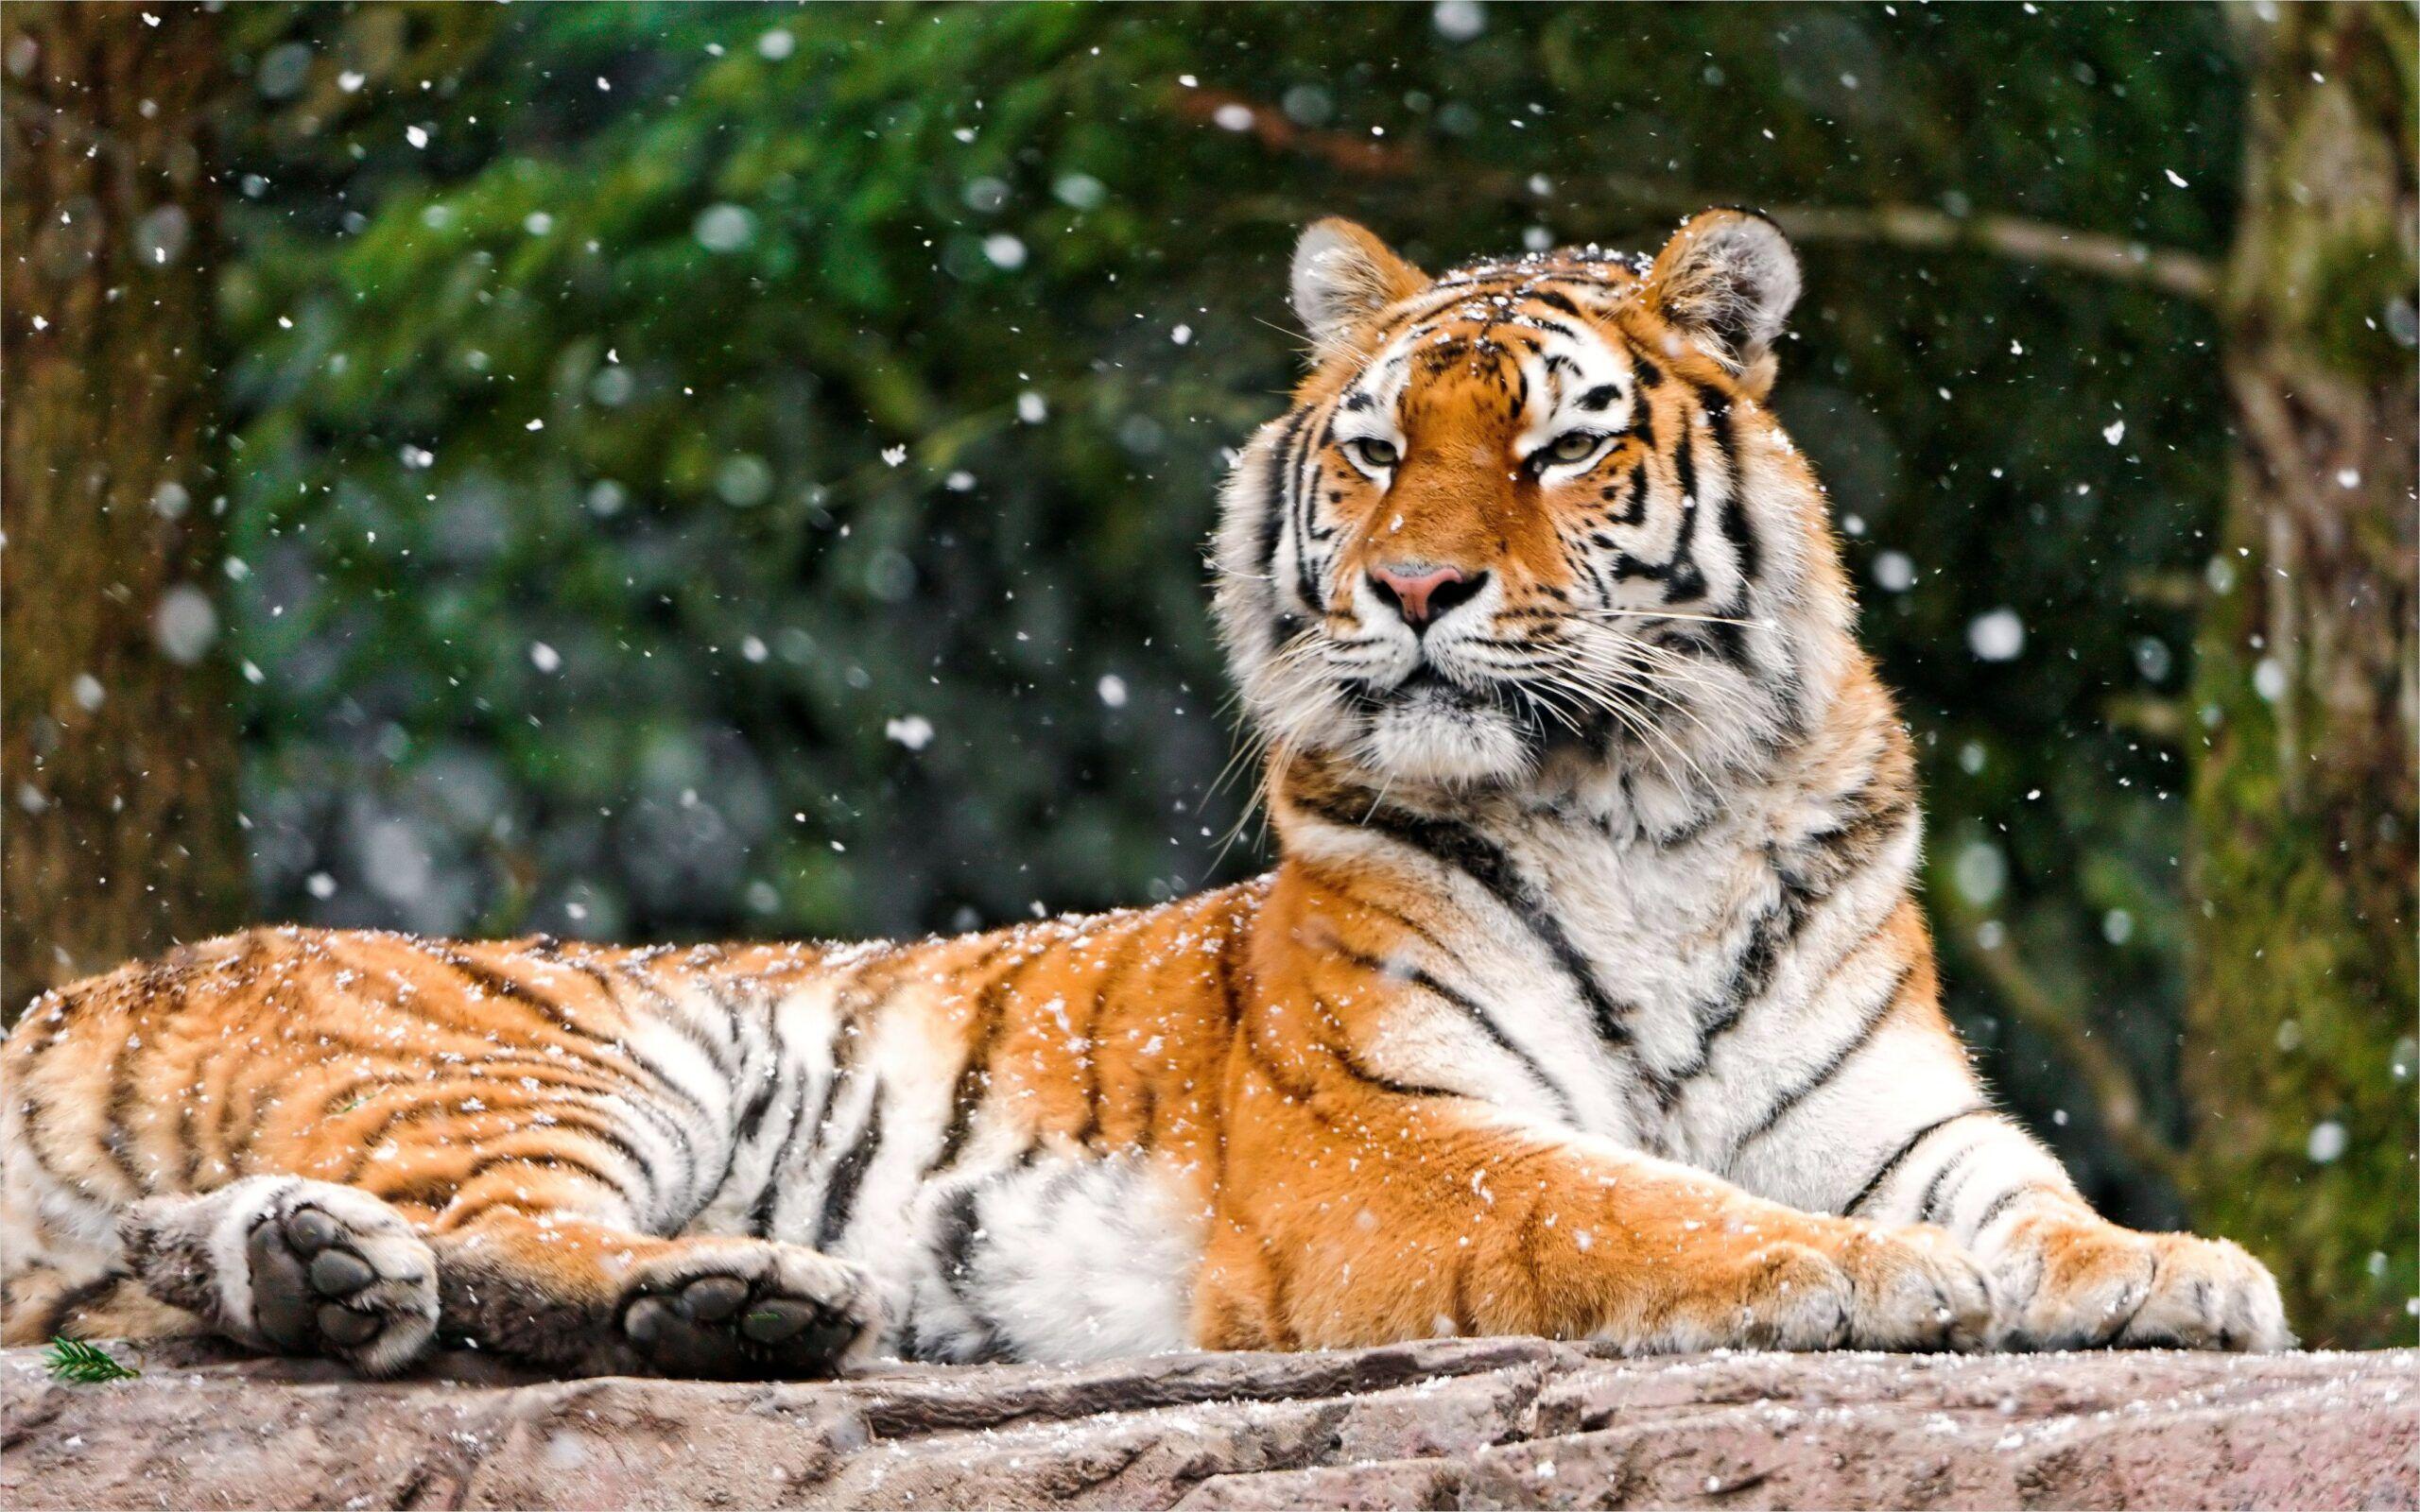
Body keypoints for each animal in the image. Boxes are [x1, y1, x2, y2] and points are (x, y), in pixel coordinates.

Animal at [0, 211, 2290, 1380]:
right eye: (1375, 446)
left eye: (1559, 447)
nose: (1416, 589)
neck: (1648, 805)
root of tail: (78, 987)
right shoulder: (1390, 1136)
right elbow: (1628, 1200)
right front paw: (1858, 1276)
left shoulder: (1896, 1105)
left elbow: (2029, 1194)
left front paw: (2176, 1267)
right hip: (556, 1050)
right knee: (496, 1245)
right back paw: (730, 1295)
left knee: (261, 1259)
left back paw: (344, 1277)